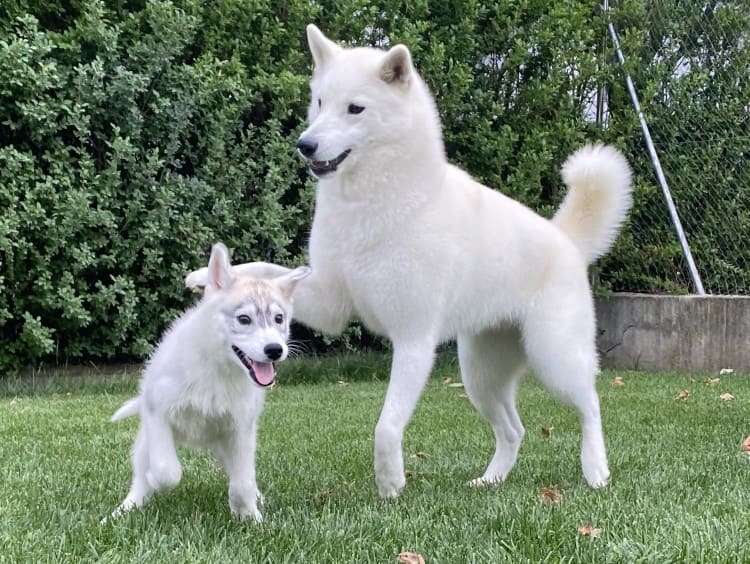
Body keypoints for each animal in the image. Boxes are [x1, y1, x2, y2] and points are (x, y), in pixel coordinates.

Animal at [107, 240, 310, 524]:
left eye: (279, 319)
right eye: (244, 319)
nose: (274, 350)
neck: (219, 368)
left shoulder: (241, 430)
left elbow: (242, 482)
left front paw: (250, 517)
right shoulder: (157, 412)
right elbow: (166, 470)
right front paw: (156, 481)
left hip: (226, 444)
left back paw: (257, 501)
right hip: (146, 442)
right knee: (140, 476)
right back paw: (126, 508)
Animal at [187, 25, 636, 498]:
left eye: (355, 108)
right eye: (320, 102)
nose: (305, 145)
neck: (372, 201)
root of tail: (565, 239)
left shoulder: (413, 340)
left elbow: (386, 427)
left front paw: (390, 483)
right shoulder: (328, 303)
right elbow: (266, 269)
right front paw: (206, 276)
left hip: (555, 360)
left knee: (591, 407)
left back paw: (596, 471)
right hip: (481, 377)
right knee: (514, 431)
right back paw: (489, 480)